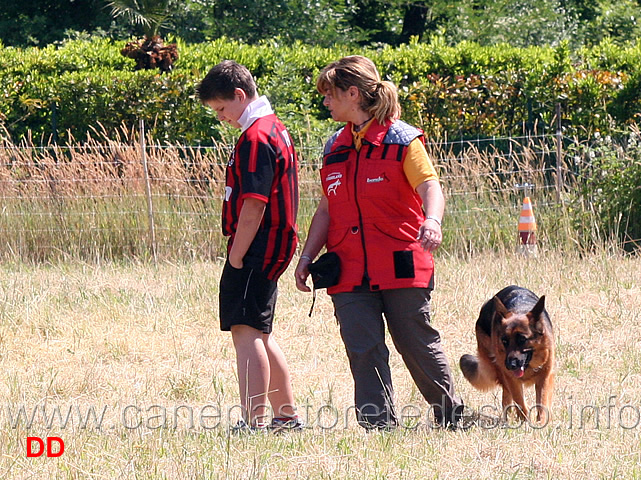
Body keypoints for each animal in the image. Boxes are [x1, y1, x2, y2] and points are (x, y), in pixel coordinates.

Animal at [460, 284, 556, 424]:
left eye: (522, 340)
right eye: (504, 341)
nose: (510, 365)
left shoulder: (545, 376)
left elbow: (542, 403)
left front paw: (541, 423)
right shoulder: (511, 378)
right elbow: (520, 402)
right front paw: (525, 421)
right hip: (499, 369)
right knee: (507, 396)